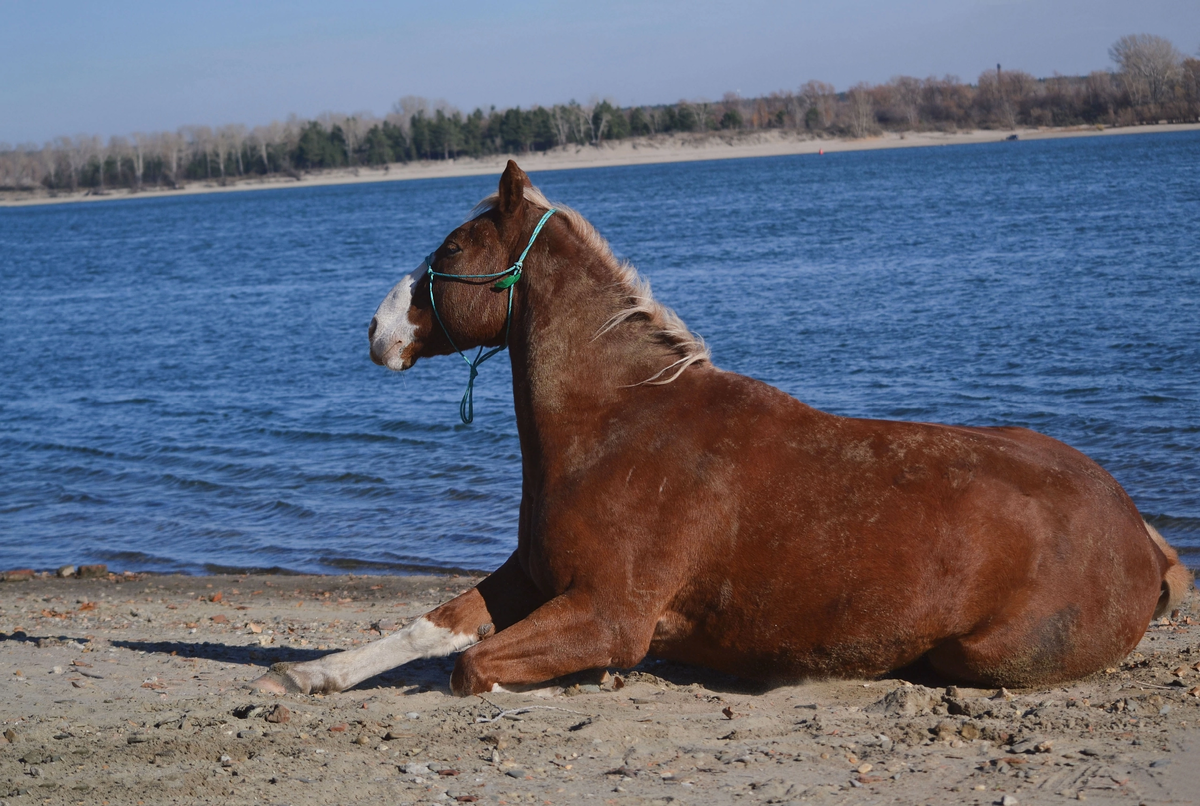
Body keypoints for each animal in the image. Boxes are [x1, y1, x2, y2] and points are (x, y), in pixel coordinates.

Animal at [248, 160, 1185, 695]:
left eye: (450, 249)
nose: (375, 330)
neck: (620, 425)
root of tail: (1138, 530)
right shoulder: (530, 578)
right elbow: (434, 626)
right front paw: (314, 675)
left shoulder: (606, 614)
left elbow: (471, 666)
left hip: (986, 654)